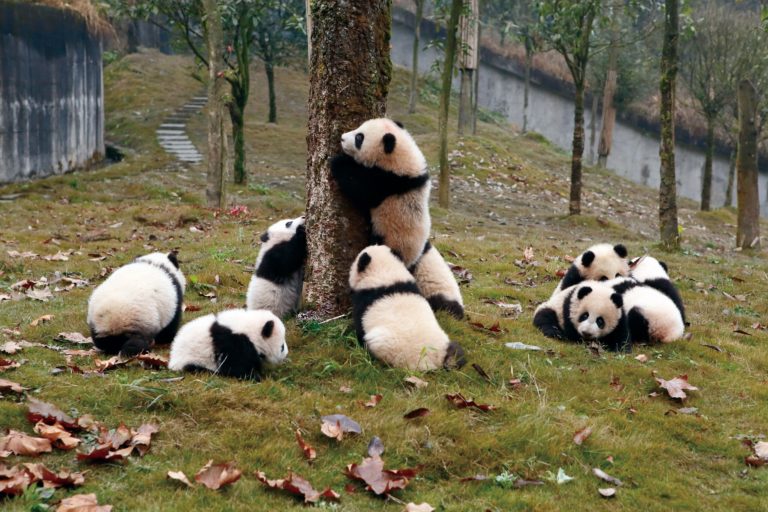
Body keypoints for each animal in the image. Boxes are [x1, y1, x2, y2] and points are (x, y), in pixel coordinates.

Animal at [331, 118, 430, 268]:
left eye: (359, 138)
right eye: (359, 128)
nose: (342, 138)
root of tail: (409, 261)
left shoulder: (389, 181)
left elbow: (361, 188)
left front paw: (338, 161)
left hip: (391, 239)